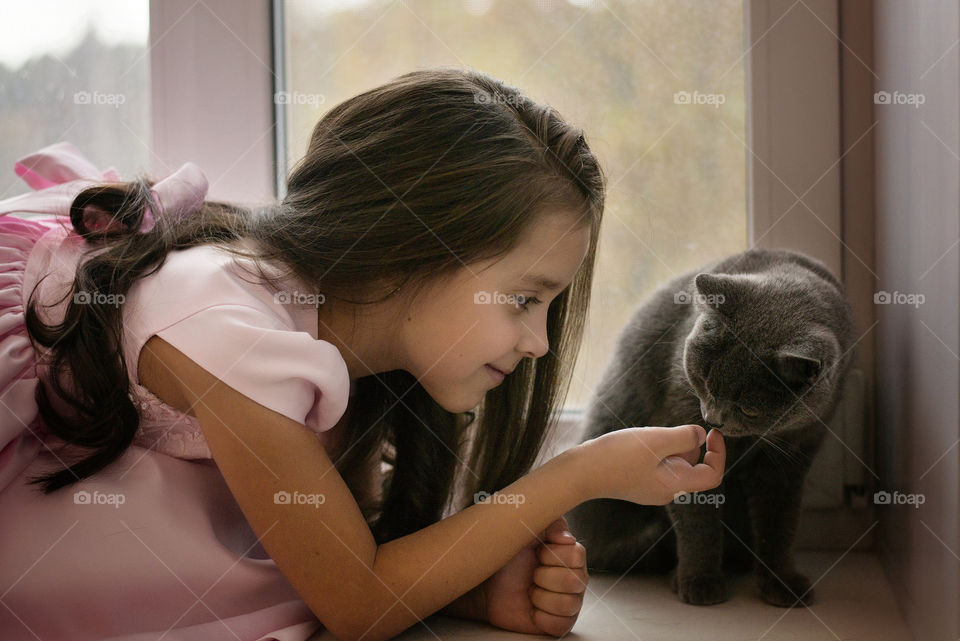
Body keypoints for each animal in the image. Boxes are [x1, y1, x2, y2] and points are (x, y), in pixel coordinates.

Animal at [564, 248, 856, 608]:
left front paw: (781, 583)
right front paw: (700, 581)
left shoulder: (795, 453)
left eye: (749, 408)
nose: (713, 418)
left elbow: (779, 522)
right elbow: (696, 517)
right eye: (704, 379)